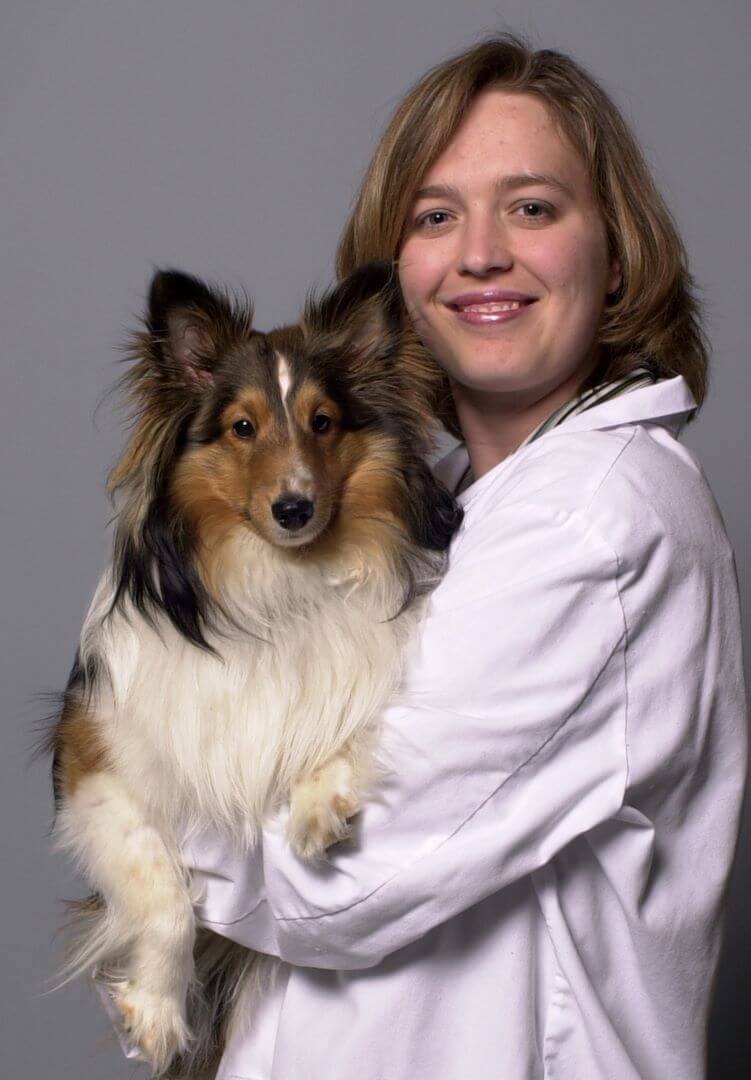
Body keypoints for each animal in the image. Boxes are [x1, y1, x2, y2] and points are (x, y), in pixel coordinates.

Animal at [48, 259, 464, 1071]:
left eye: (322, 422)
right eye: (242, 427)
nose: (294, 509)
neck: (273, 587)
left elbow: (341, 727)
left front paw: (316, 806)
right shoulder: (95, 766)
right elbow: (160, 886)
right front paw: (156, 1010)